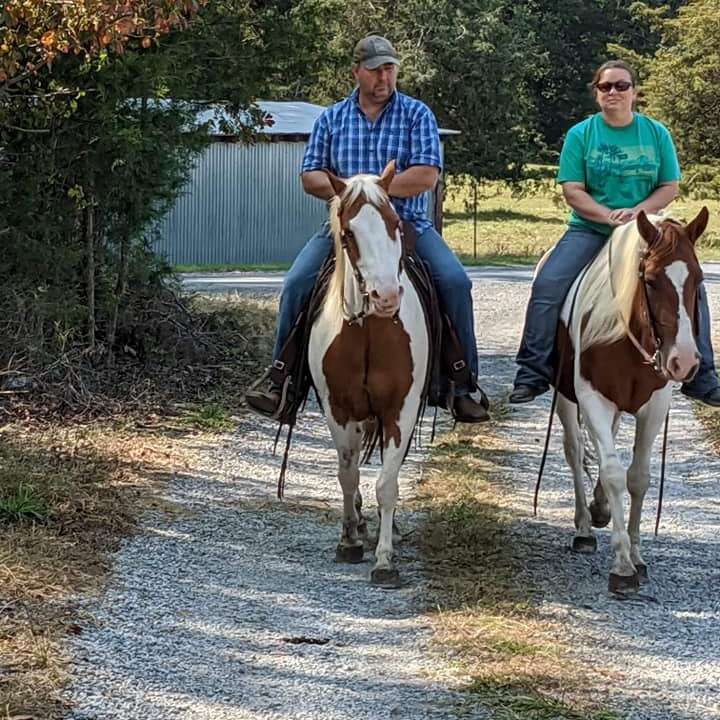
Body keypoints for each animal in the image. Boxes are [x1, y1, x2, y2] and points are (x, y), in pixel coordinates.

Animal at [308, 160, 428, 588]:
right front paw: (348, 541)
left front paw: (385, 560)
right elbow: (348, 474)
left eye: (395, 223)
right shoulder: (338, 409)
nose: (386, 297)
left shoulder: (400, 412)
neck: (369, 331)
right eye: (348, 233)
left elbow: (387, 484)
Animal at [556, 205, 704, 592]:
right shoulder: (592, 398)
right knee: (575, 449)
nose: (684, 361)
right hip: (567, 400)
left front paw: (637, 555)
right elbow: (612, 472)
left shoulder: (654, 405)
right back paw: (583, 527)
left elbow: (638, 477)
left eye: (698, 279)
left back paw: (599, 508)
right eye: (650, 280)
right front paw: (622, 564)